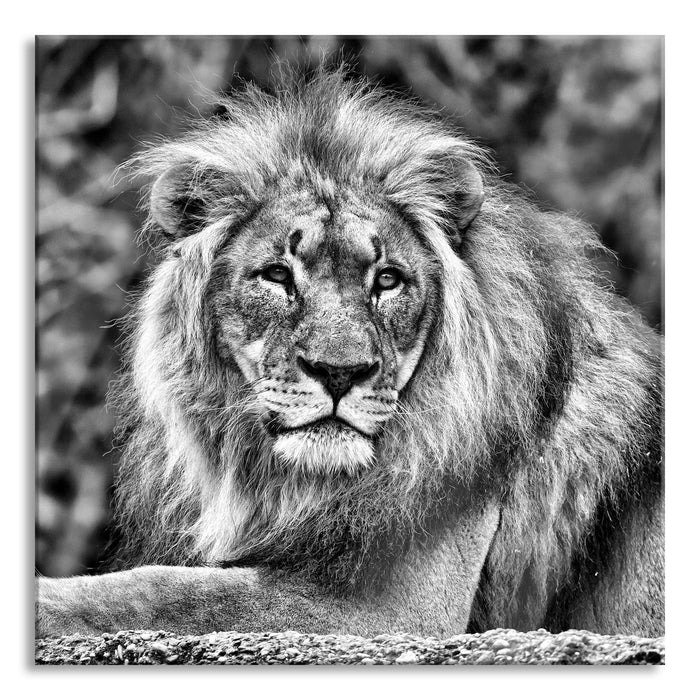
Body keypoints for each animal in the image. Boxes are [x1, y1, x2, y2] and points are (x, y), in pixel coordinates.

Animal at [35, 69, 663, 639]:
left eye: (387, 280)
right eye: (276, 275)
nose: (340, 373)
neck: (289, 483)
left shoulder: (398, 611)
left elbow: (167, 591)